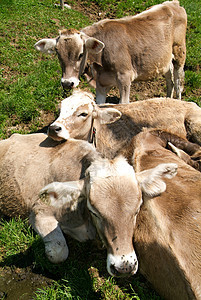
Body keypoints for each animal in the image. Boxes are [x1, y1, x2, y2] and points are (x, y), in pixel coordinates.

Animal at [34, 0, 187, 103]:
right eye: (58, 54)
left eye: (81, 54)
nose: (67, 83)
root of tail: (172, 3)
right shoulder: (101, 85)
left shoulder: (125, 78)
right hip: (165, 59)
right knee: (169, 78)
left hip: (180, 52)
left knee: (178, 82)